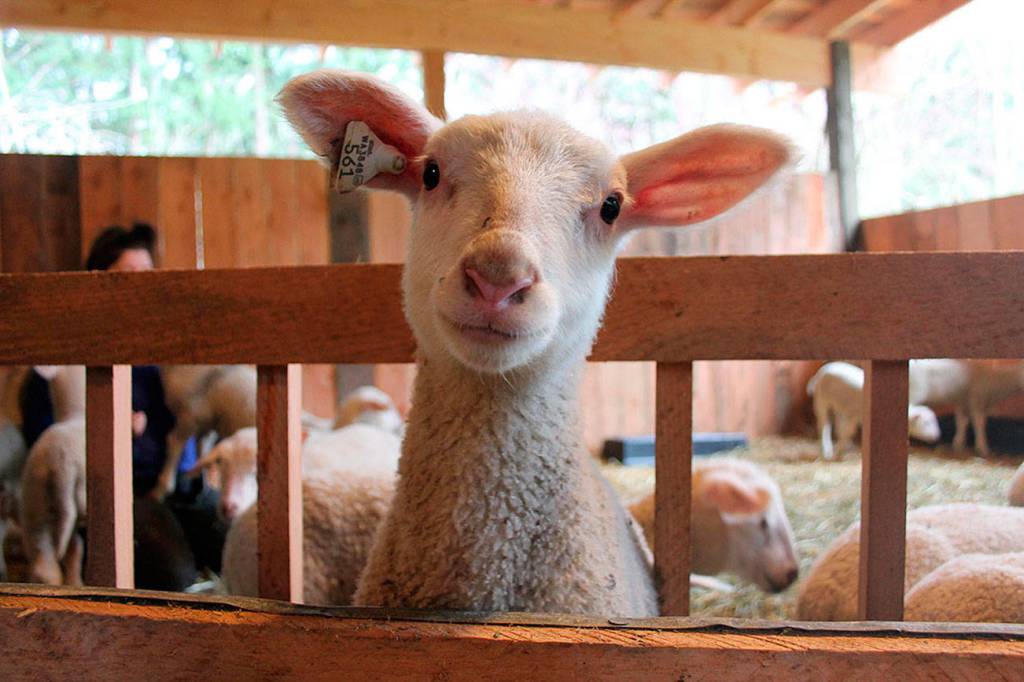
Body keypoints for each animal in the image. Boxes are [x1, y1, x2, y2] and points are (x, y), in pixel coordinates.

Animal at [807, 361, 940, 460]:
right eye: (926, 422)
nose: (937, 435)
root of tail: (821, 371)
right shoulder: (854, 416)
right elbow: (848, 432)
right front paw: (838, 453)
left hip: (839, 405)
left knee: (837, 423)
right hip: (821, 401)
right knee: (824, 425)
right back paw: (827, 450)